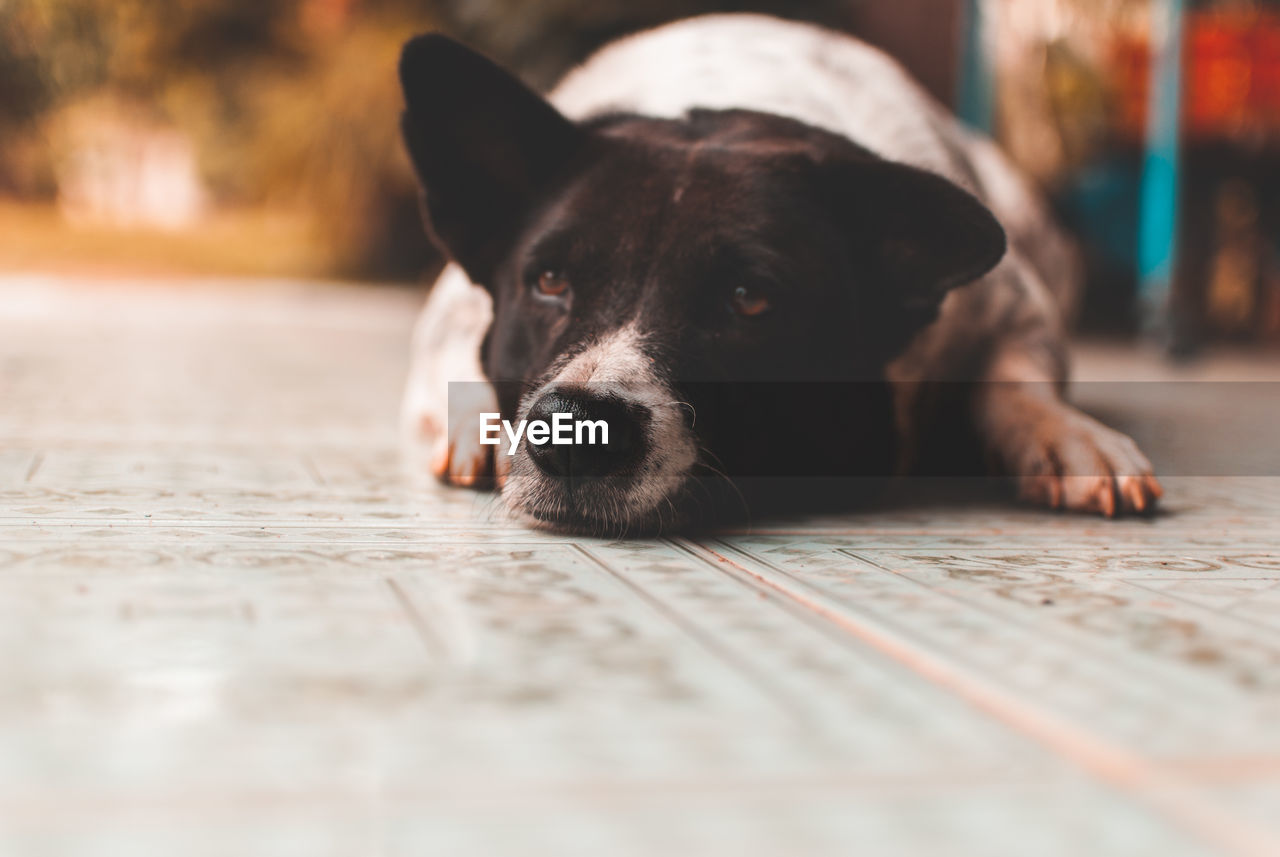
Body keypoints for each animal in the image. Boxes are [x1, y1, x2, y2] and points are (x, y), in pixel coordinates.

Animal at [396, 13, 1162, 534]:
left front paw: (1066, 432)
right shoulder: (453, 303)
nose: (577, 427)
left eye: (749, 300)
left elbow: (1019, 378)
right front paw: (477, 427)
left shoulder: (1014, 302)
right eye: (550, 281)